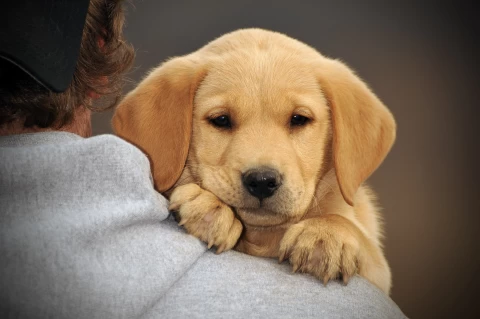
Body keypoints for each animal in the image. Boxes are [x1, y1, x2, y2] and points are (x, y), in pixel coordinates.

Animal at [111, 28, 394, 296]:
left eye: (299, 119)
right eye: (221, 120)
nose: (262, 181)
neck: (261, 238)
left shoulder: (379, 273)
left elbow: (357, 234)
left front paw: (326, 235)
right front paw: (208, 205)